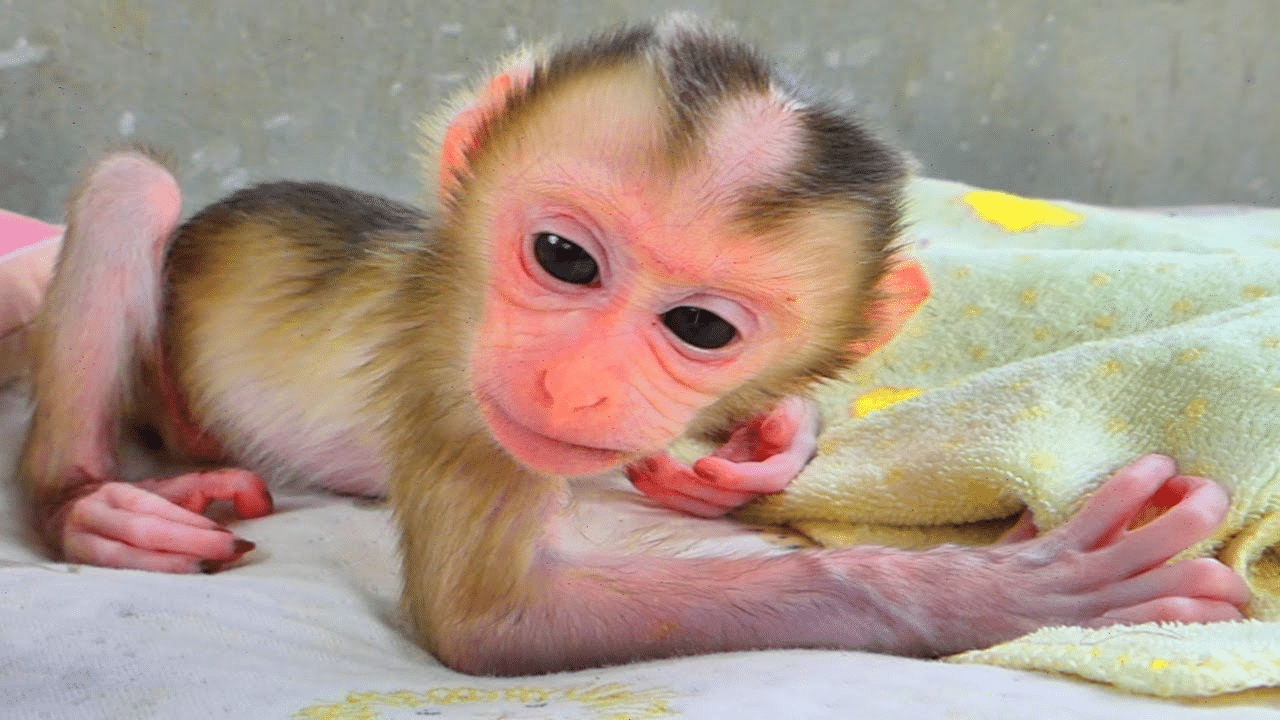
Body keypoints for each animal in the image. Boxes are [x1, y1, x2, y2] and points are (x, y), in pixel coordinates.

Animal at [20, 15, 1248, 675]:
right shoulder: (454, 386)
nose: (576, 381)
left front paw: (750, 451)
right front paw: (1002, 593)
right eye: (564, 259)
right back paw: (87, 502)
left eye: (697, 328)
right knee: (132, 187)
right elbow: (488, 623)